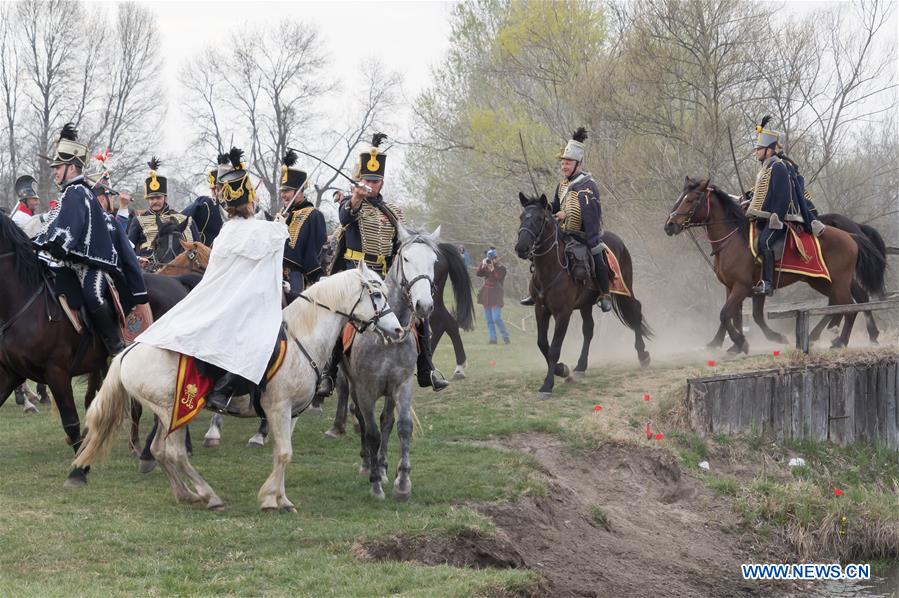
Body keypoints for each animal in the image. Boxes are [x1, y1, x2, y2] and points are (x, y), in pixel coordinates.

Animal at [0, 213, 193, 490]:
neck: (24, 304)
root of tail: (177, 283)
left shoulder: (56, 372)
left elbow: (71, 420)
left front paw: (79, 469)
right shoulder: (11, 372)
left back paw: (151, 452)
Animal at [72, 264, 402, 512]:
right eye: (375, 294)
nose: (398, 330)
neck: (302, 338)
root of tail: (129, 351)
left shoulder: (291, 414)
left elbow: (283, 452)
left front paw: (280, 498)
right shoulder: (278, 408)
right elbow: (284, 453)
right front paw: (270, 501)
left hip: (168, 413)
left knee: (159, 452)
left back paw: (186, 494)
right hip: (173, 412)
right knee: (174, 454)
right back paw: (208, 495)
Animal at [516, 192, 652, 398]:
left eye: (539, 219)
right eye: (522, 217)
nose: (521, 248)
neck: (551, 269)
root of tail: (618, 241)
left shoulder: (563, 313)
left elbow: (554, 348)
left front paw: (547, 385)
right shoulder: (541, 309)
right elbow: (542, 344)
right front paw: (562, 369)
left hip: (625, 288)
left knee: (635, 310)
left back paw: (643, 354)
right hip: (586, 304)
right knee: (589, 329)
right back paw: (581, 366)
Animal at [664, 178, 884, 356]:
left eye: (692, 199)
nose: (669, 225)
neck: (733, 238)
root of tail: (850, 235)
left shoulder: (742, 287)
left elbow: (727, 314)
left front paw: (742, 343)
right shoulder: (736, 287)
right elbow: (739, 316)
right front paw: (729, 344)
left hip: (838, 281)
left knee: (849, 307)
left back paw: (841, 341)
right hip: (823, 281)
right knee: (848, 301)